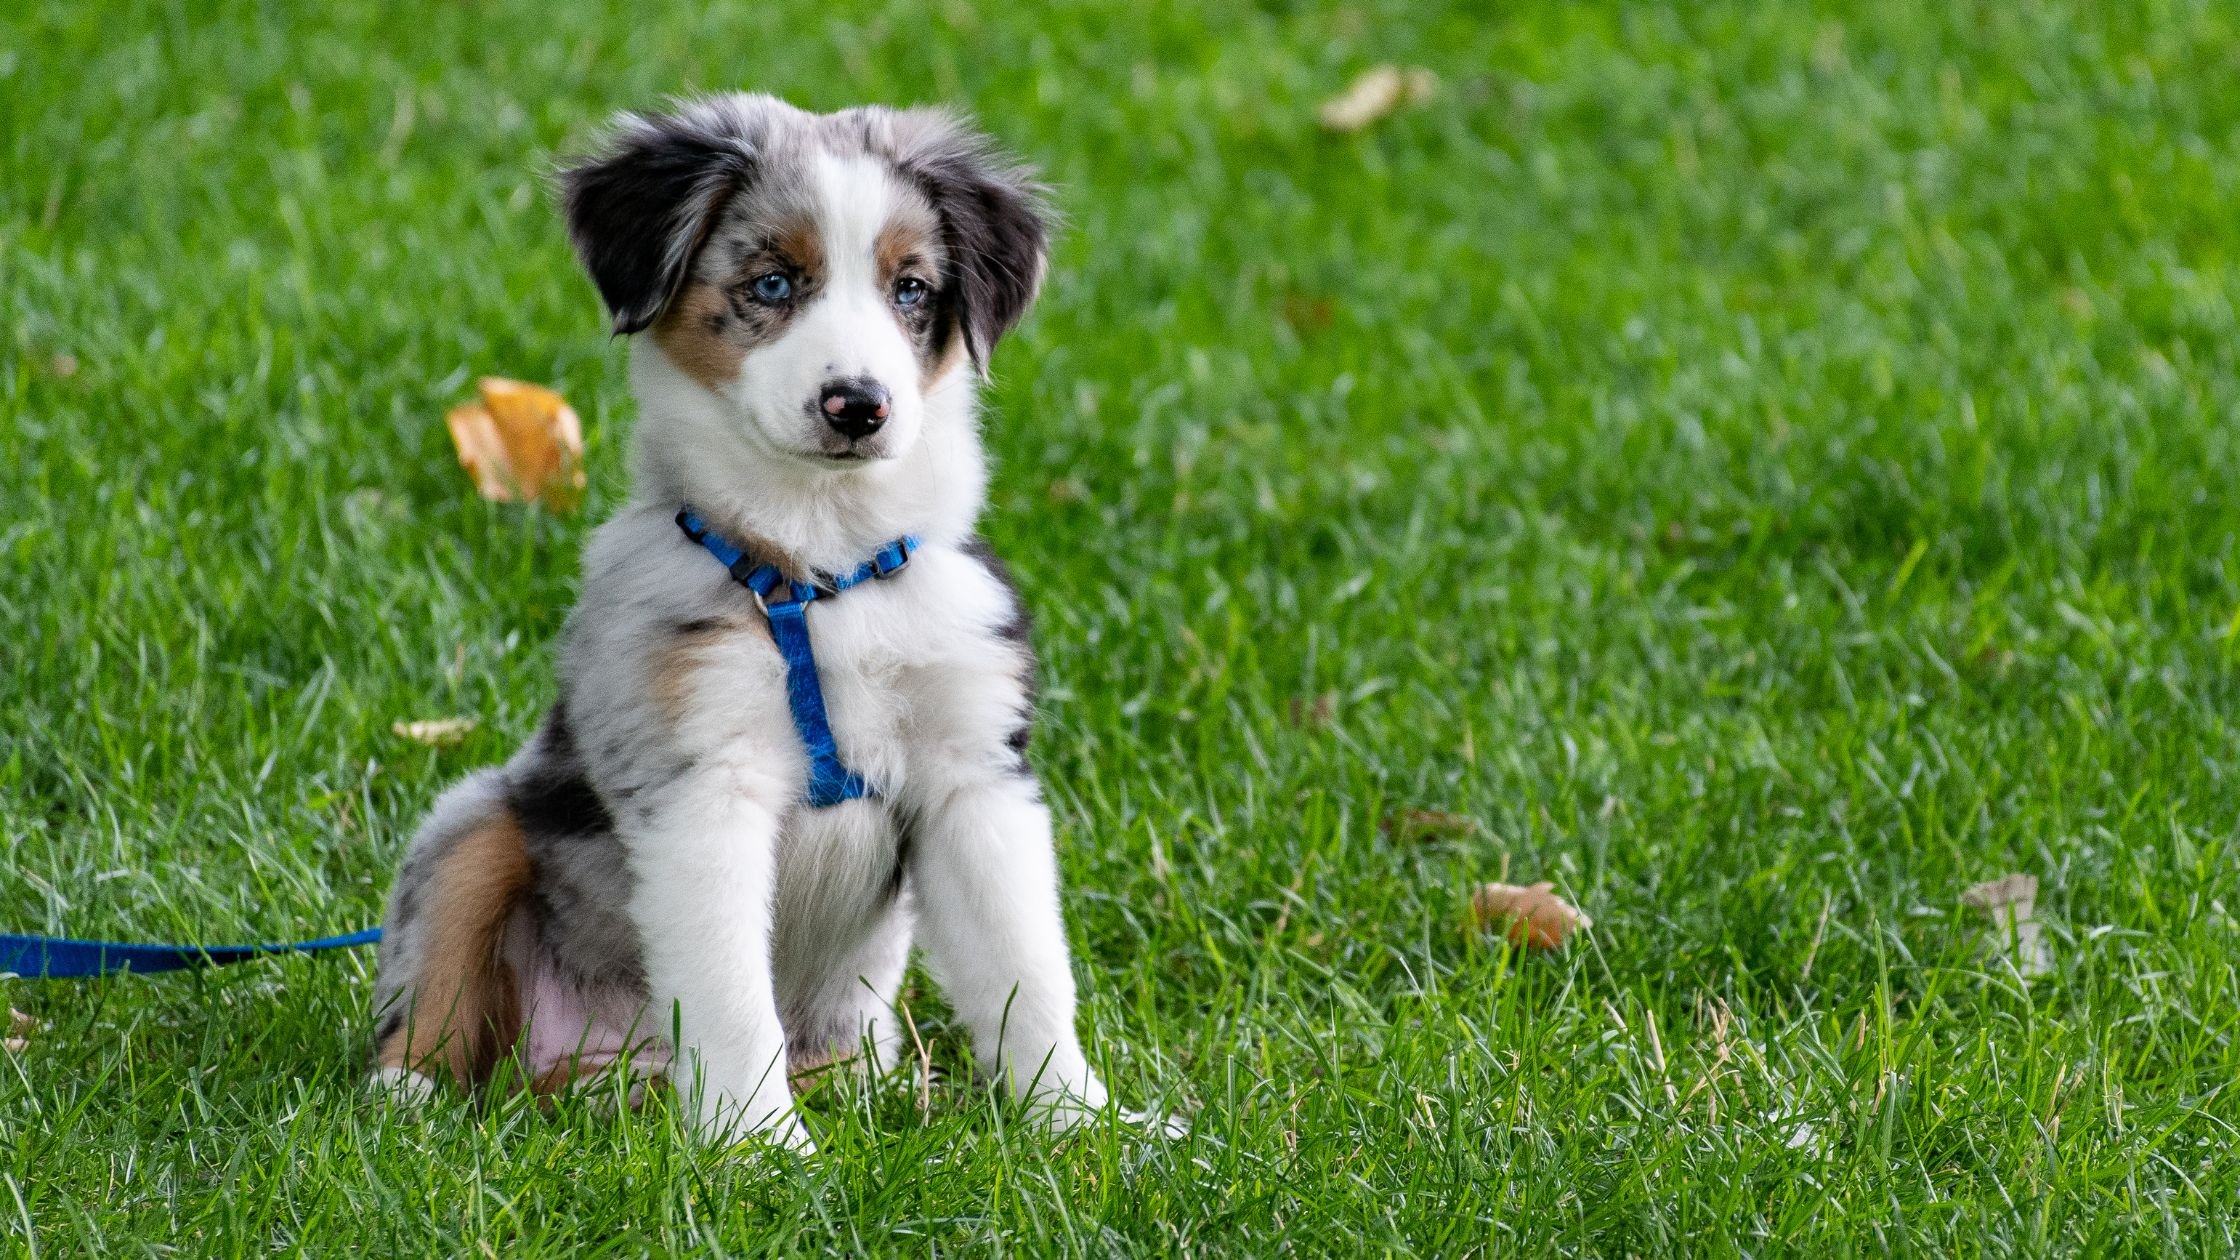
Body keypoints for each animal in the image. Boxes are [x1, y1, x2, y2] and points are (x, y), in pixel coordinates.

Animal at [378, 93, 1137, 1143]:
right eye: (772, 282)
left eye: (911, 290)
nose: (857, 405)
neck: (823, 569)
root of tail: (599, 1073)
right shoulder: (702, 786)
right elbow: (733, 997)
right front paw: (762, 1149)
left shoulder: (974, 777)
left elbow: (1026, 973)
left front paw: (1084, 1127)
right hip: (474, 823)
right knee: (437, 986)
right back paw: (409, 1098)